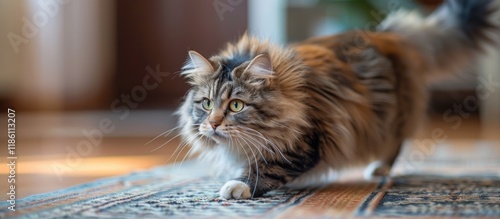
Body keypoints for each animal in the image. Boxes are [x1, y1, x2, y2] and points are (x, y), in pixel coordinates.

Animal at [175, 0, 496, 199]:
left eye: (236, 105)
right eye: (206, 104)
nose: (213, 124)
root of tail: (391, 35)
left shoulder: (303, 146)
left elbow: (265, 169)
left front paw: (237, 187)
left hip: (388, 118)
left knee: (396, 143)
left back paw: (378, 169)